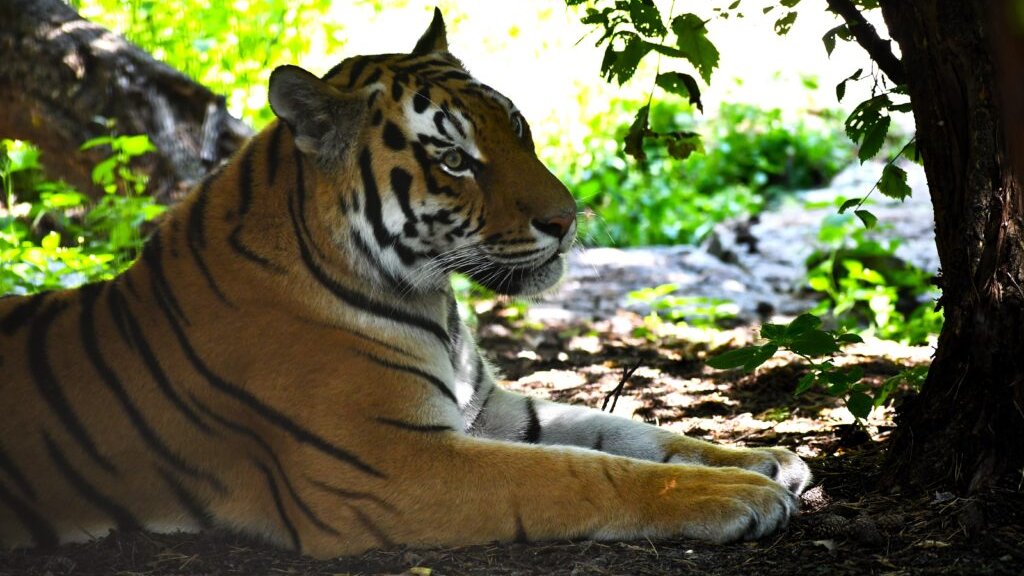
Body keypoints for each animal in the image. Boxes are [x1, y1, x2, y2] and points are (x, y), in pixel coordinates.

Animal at [2, 7, 806, 557]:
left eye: (519, 129)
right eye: (454, 160)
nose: (568, 218)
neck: (431, 300)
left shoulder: (486, 408)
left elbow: (627, 430)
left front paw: (764, 458)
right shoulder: (392, 463)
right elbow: (579, 472)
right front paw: (739, 493)